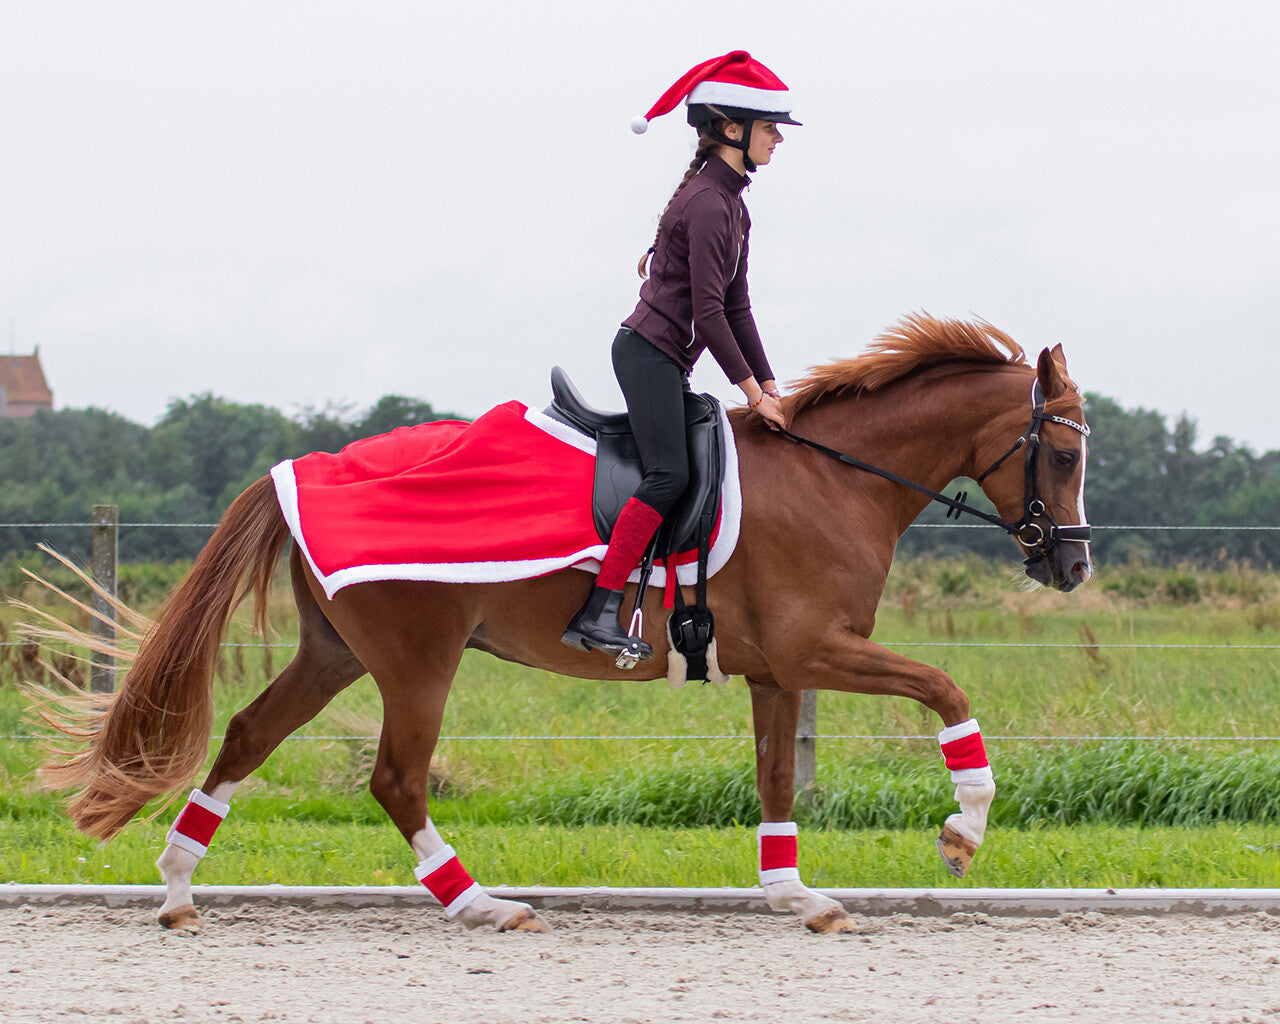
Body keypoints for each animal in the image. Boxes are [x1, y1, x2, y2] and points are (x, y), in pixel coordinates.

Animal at [32, 313, 1090, 936]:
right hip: (418, 659)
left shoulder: (776, 670)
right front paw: (964, 828)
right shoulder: (816, 649)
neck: (838, 476)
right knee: (396, 778)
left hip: (336, 654)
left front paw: (796, 894)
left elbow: (778, 775)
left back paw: (178, 887)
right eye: (1068, 454)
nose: (1071, 563)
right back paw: (481, 905)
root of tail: (306, 470)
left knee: (251, 735)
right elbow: (947, 689)